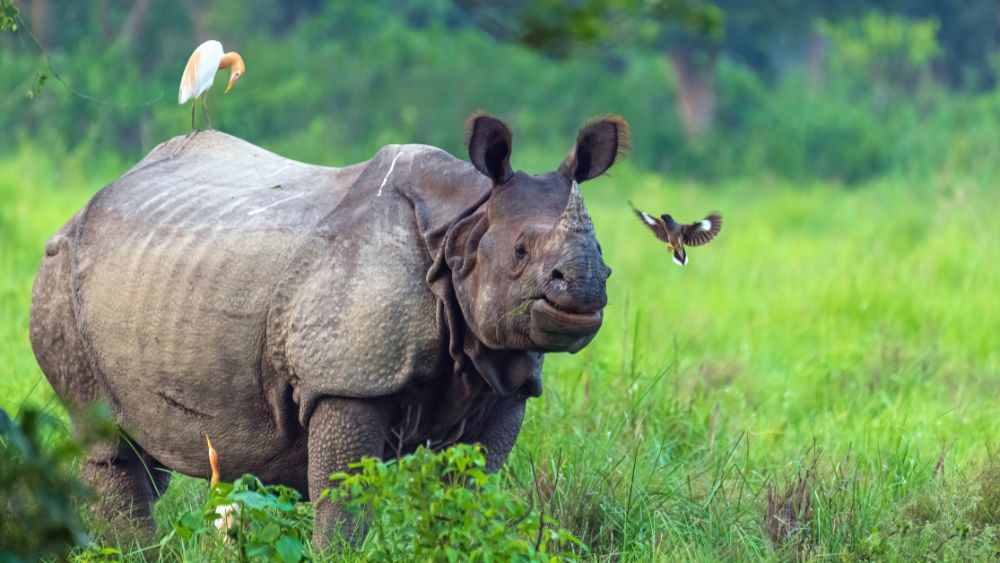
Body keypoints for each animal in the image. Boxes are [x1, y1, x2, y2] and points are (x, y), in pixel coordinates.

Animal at [29, 113, 628, 545]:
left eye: (602, 251)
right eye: (521, 253)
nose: (584, 289)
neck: (465, 224)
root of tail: (88, 202)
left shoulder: (503, 383)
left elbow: (465, 492)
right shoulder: (347, 379)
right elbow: (344, 497)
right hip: (58, 275)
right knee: (108, 440)